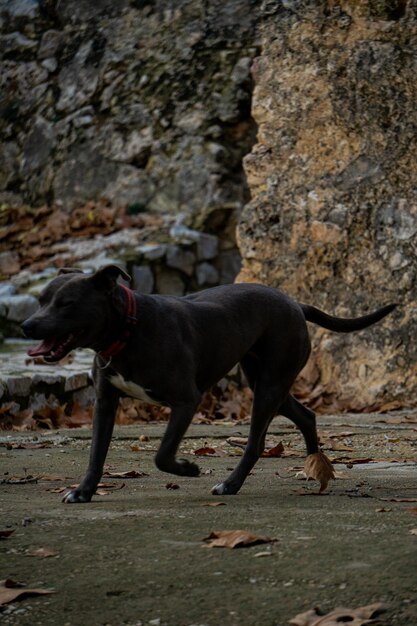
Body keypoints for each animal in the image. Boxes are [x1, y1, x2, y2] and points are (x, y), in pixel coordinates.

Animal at [21, 266, 394, 500]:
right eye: (40, 300)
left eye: (67, 304)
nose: (26, 325)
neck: (128, 328)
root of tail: (295, 304)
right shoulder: (105, 403)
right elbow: (96, 454)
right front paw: (83, 492)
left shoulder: (186, 401)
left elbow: (162, 455)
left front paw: (188, 469)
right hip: (267, 383)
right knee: (306, 415)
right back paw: (315, 466)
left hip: (269, 386)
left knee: (256, 442)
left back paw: (230, 485)